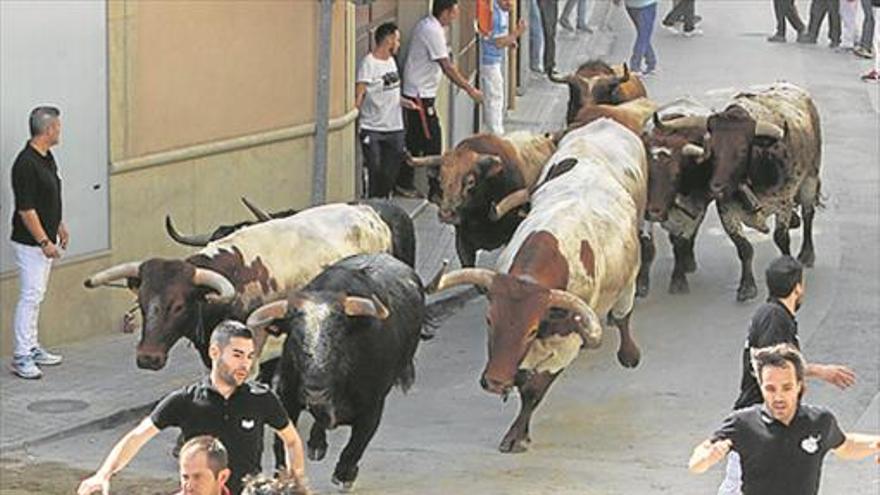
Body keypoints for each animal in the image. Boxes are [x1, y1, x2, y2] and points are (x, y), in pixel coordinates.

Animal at [246, 254, 432, 490]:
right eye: (295, 338)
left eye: (340, 337)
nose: (316, 390)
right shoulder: (286, 398)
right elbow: (282, 443)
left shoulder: (373, 406)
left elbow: (357, 444)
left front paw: (344, 474)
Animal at [428, 116, 644, 454]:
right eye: (489, 320)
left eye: (531, 330)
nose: (494, 382)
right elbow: (521, 376)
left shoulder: (566, 343)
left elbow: (534, 390)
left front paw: (516, 435)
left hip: (628, 281)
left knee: (623, 316)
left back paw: (629, 354)